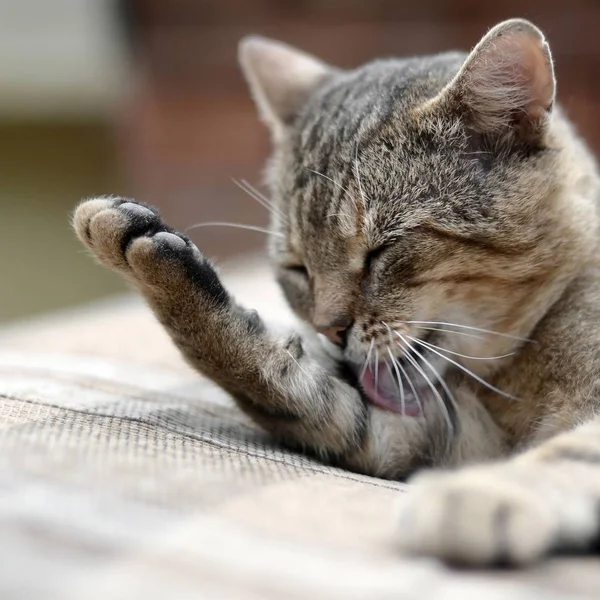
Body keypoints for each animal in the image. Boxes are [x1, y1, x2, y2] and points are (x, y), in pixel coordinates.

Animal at [72, 19, 600, 568]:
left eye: (380, 251)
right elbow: (285, 389)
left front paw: (483, 495)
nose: (328, 329)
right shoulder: (437, 435)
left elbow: (575, 448)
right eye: (297, 268)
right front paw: (155, 266)